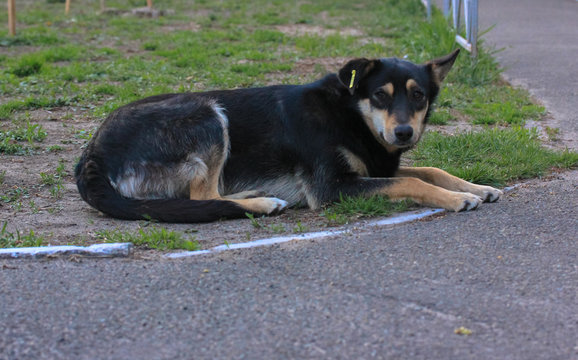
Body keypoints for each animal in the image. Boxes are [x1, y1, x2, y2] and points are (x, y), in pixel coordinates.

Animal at [75, 47, 500, 222]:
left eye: (418, 96)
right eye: (380, 95)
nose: (403, 132)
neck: (350, 114)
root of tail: (92, 152)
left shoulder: (378, 166)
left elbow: (428, 170)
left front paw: (477, 187)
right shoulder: (332, 187)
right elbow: (412, 183)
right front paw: (458, 199)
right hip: (207, 114)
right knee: (202, 196)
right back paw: (263, 202)